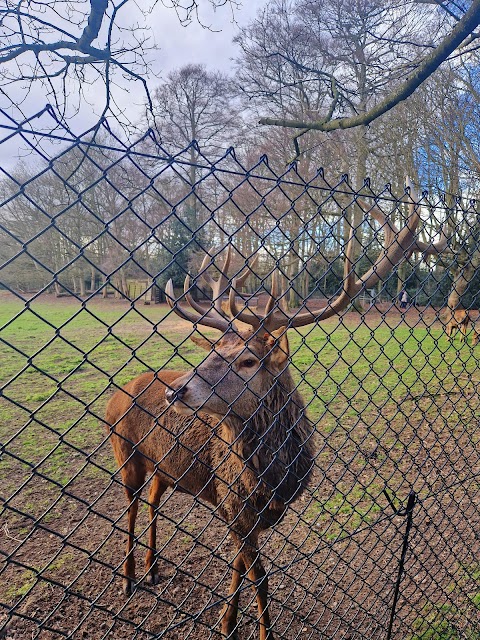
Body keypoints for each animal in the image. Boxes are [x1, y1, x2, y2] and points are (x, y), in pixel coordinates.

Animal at [106, 181, 446, 640]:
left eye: (249, 360)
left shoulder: (245, 514)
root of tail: (117, 394)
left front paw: (227, 621)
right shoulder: (232, 505)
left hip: (163, 466)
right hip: (124, 452)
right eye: (213, 350)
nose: (175, 391)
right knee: (129, 507)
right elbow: (261, 578)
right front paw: (257, 629)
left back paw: (152, 567)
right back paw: (126, 579)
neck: (275, 481)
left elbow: (240, 569)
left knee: (154, 501)